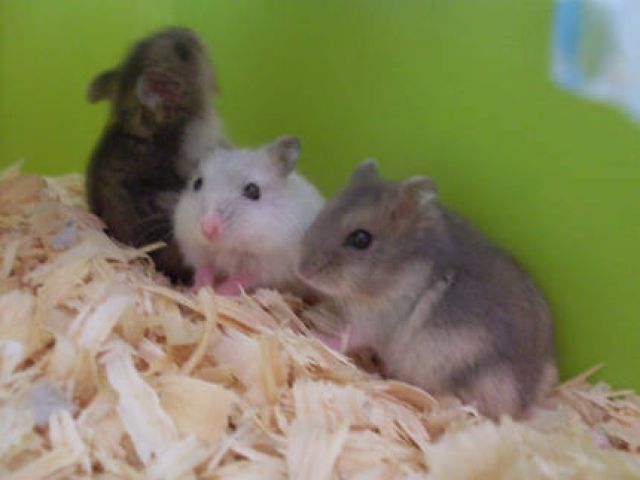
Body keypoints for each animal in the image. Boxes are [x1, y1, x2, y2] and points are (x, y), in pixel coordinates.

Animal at [174, 136, 325, 296]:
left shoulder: (268, 264)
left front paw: (219, 292)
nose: (207, 230)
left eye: (253, 190)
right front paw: (199, 289)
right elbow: (203, 269)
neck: (227, 247)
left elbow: (241, 279)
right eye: (197, 183)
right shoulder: (198, 249)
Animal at [297, 160, 557, 419]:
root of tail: (527, 403)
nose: (302, 272)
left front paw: (313, 333)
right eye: (323, 213)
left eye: (361, 239)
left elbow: (346, 337)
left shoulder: (376, 320)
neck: (400, 269)